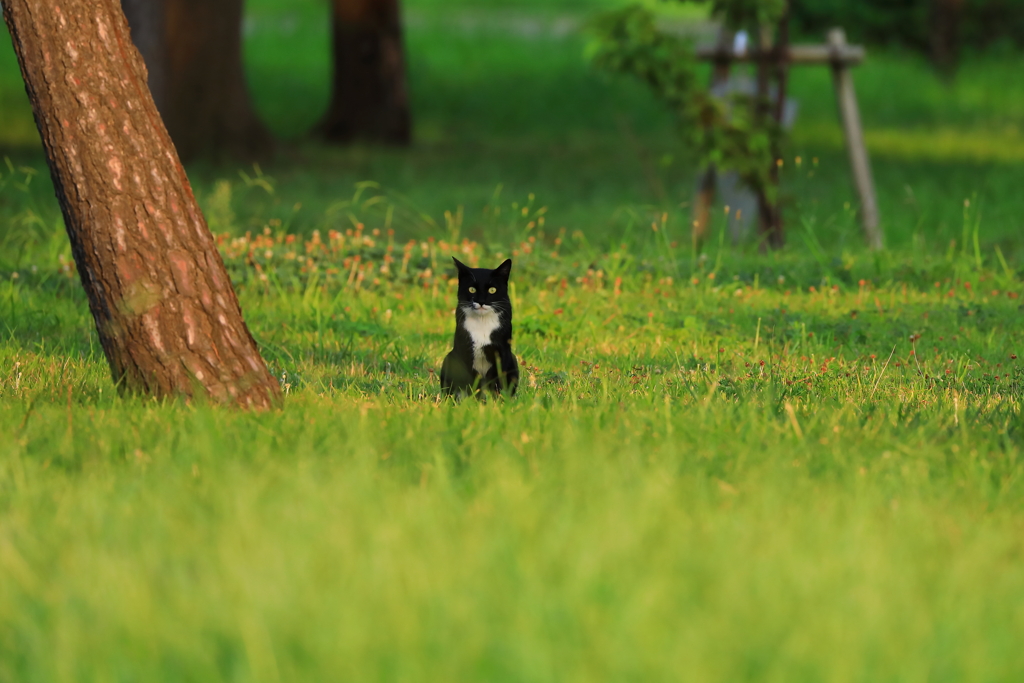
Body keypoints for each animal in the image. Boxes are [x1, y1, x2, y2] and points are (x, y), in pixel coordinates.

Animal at [440, 255, 520, 395]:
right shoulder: (464, 349)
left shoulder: (502, 351)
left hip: (513, 360)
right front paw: (470, 399)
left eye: (492, 290)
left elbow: (498, 379)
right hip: (449, 358)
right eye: (471, 289)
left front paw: (497, 398)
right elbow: (468, 381)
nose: (481, 301)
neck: (482, 322)